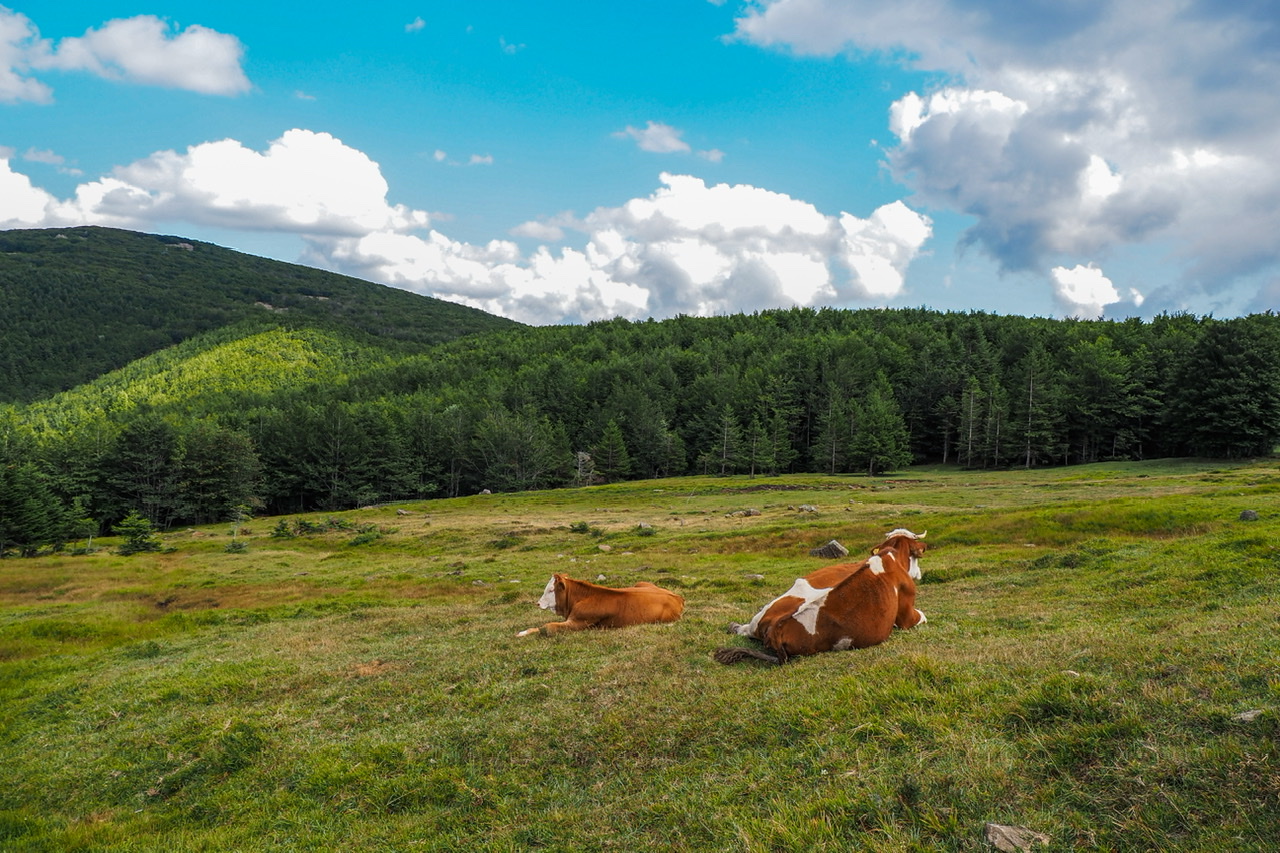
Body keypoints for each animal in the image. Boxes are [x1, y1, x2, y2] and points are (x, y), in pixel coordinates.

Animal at [514, 573, 686, 635]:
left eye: (551, 590)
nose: (538, 603)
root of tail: (677, 597)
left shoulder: (579, 622)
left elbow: (549, 627)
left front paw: (523, 633)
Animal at [711, 525, 931, 666]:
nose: (919, 574)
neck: (891, 555)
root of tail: (777, 628)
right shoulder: (907, 616)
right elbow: (923, 617)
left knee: (744, 630)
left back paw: (734, 626)